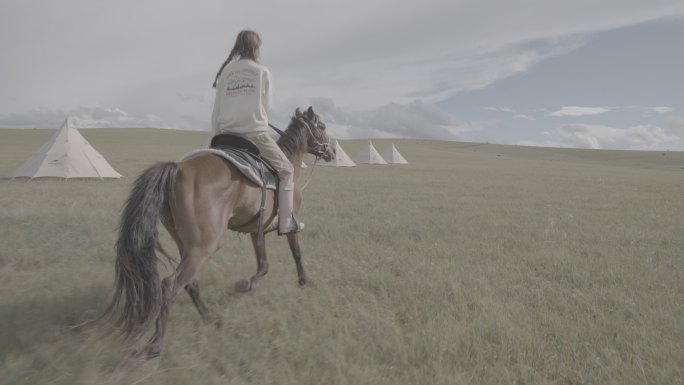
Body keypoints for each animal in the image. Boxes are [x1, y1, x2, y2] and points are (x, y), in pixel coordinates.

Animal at [103, 106, 334, 356]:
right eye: (322, 126)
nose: (331, 152)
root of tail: (180, 168)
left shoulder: (256, 230)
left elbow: (263, 264)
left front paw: (248, 284)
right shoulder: (291, 224)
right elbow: (297, 254)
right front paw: (303, 282)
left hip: (187, 245)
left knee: (190, 283)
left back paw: (210, 318)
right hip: (204, 246)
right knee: (171, 284)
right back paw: (156, 344)